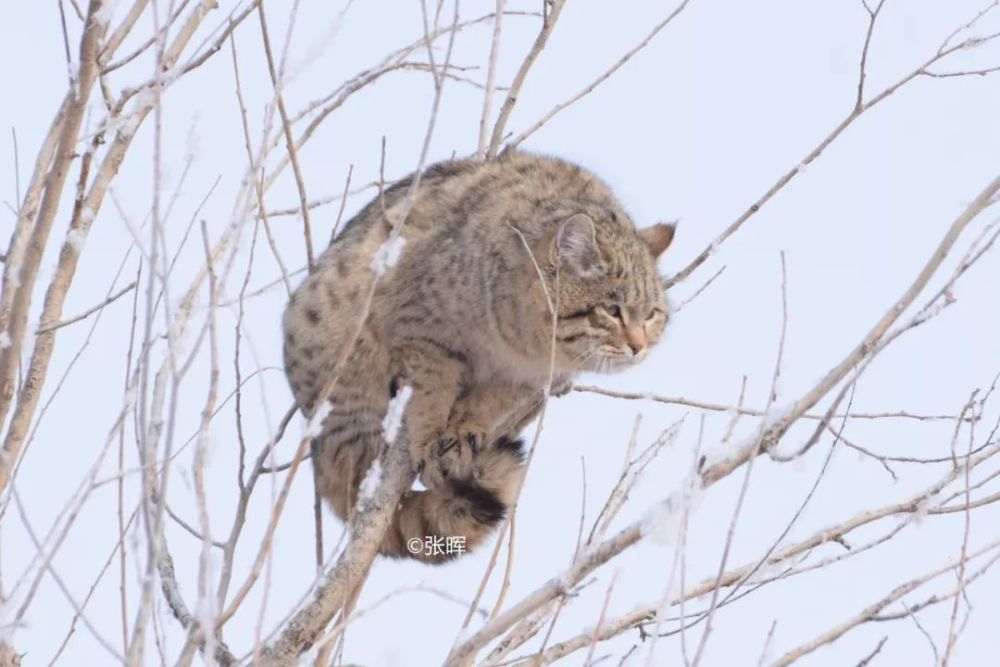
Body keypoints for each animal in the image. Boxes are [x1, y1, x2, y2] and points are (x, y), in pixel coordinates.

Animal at [282, 151, 672, 564]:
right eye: (612, 310)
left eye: (651, 313)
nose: (639, 345)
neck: (521, 341)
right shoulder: (423, 327)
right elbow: (431, 388)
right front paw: (430, 436)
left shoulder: (533, 378)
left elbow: (493, 400)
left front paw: (463, 429)